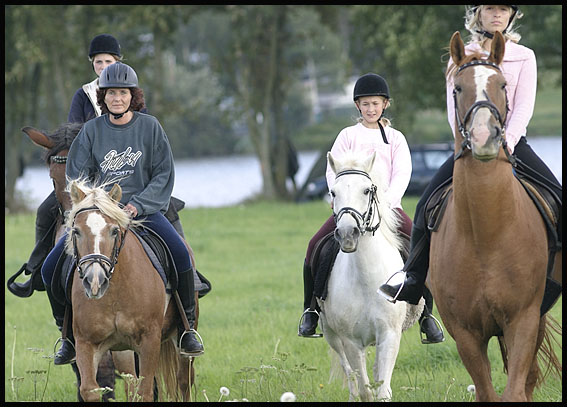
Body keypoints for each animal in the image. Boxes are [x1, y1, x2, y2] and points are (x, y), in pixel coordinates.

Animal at [320, 151, 422, 402]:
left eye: (367, 190)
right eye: (333, 192)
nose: (348, 234)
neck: (366, 281)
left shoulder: (389, 335)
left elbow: (382, 390)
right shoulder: (350, 341)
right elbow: (364, 389)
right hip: (331, 334)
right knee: (349, 372)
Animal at [430, 30, 564, 404]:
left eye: (503, 84)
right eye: (457, 88)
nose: (483, 137)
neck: (487, 233)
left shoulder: (523, 319)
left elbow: (516, 390)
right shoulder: (465, 333)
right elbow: (487, 392)